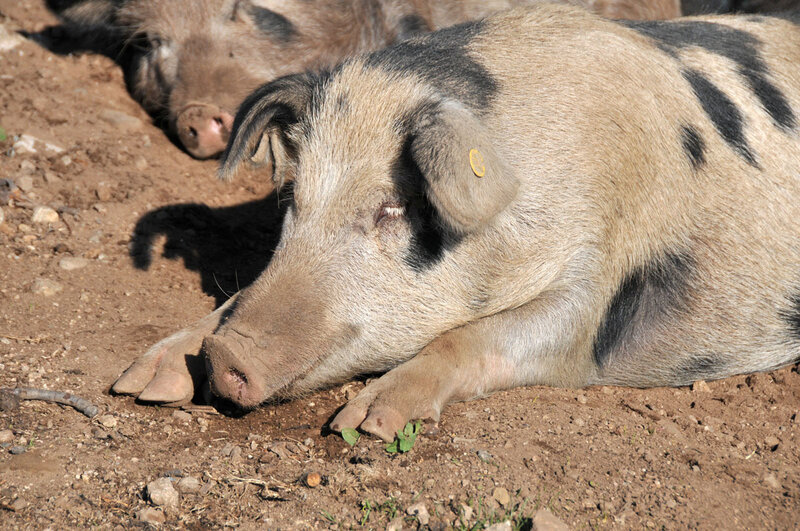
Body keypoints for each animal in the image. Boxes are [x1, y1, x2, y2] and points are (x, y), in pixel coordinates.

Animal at [112, 4, 800, 442]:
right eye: (293, 201)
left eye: (394, 207)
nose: (227, 354)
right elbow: (238, 295)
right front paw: (141, 384)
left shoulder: (595, 292)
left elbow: (473, 337)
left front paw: (365, 424)